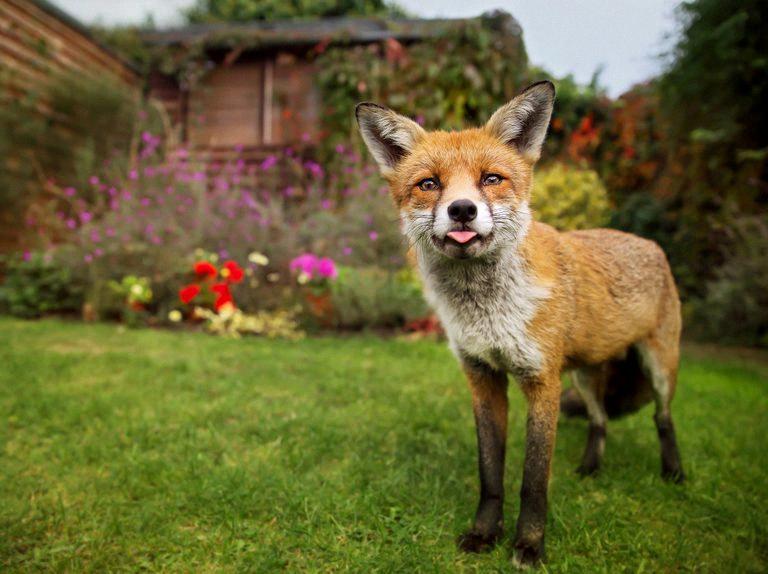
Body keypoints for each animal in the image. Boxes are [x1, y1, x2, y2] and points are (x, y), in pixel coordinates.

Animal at [355, 81, 684, 567]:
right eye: (429, 184)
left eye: (491, 179)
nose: (462, 210)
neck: (489, 313)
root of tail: (650, 244)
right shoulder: (483, 377)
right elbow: (490, 473)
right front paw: (484, 534)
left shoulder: (541, 380)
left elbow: (533, 480)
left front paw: (529, 545)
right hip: (586, 375)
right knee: (600, 420)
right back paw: (590, 468)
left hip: (659, 368)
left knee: (662, 418)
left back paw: (674, 473)